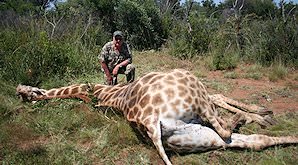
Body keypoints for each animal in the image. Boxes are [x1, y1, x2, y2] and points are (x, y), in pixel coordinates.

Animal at [16, 68, 298, 165]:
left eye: (26, 93)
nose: (20, 90)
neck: (101, 93)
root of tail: (150, 123)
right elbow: (220, 103)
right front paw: (257, 114)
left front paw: (261, 113)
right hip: (192, 87)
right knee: (227, 129)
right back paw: (249, 118)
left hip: (198, 136)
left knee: (254, 140)